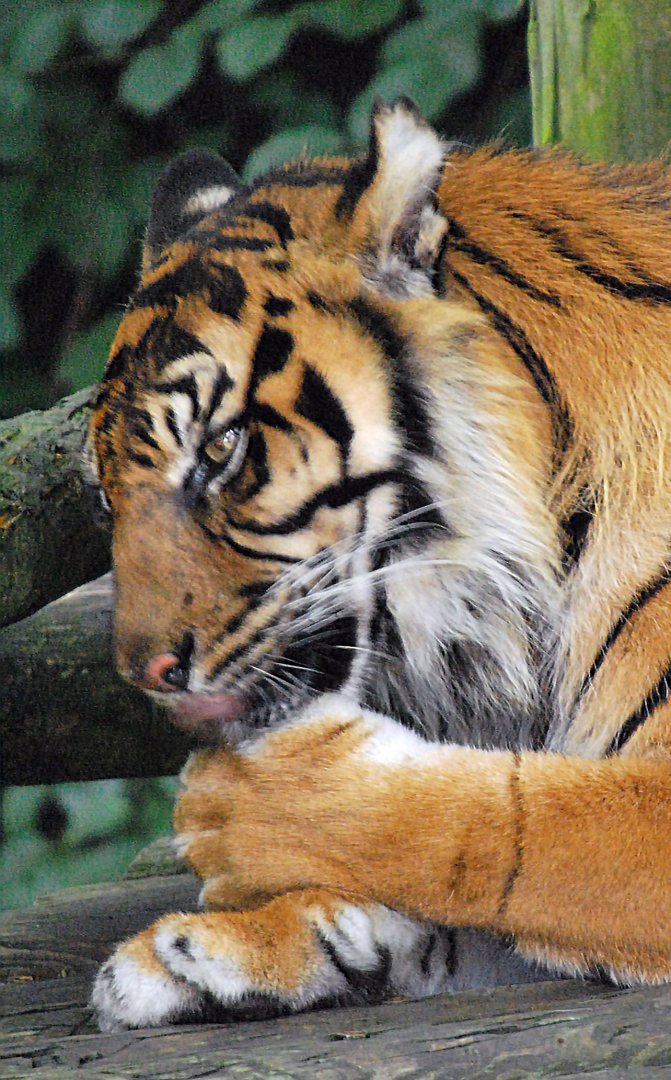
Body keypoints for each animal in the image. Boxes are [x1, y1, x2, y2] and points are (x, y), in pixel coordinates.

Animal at [89, 97, 671, 1031]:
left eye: (219, 448)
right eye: (105, 497)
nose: (145, 673)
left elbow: (506, 825)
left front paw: (235, 811)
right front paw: (201, 953)